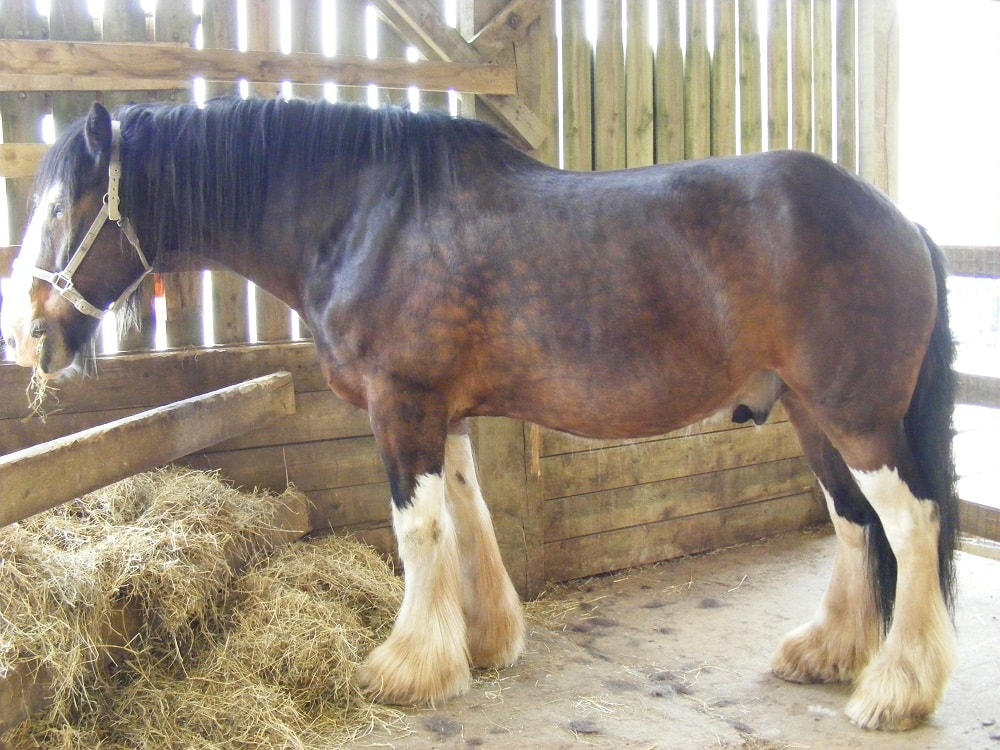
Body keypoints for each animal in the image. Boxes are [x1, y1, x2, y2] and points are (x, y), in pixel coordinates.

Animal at [0, 97, 956, 732]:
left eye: (59, 206)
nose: (27, 337)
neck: (365, 216)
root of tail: (900, 220)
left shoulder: (401, 406)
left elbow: (416, 530)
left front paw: (408, 667)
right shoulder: (444, 414)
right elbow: (468, 515)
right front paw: (485, 639)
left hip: (858, 419)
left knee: (911, 526)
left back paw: (897, 689)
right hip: (811, 416)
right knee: (854, 525)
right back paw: (830, 654)